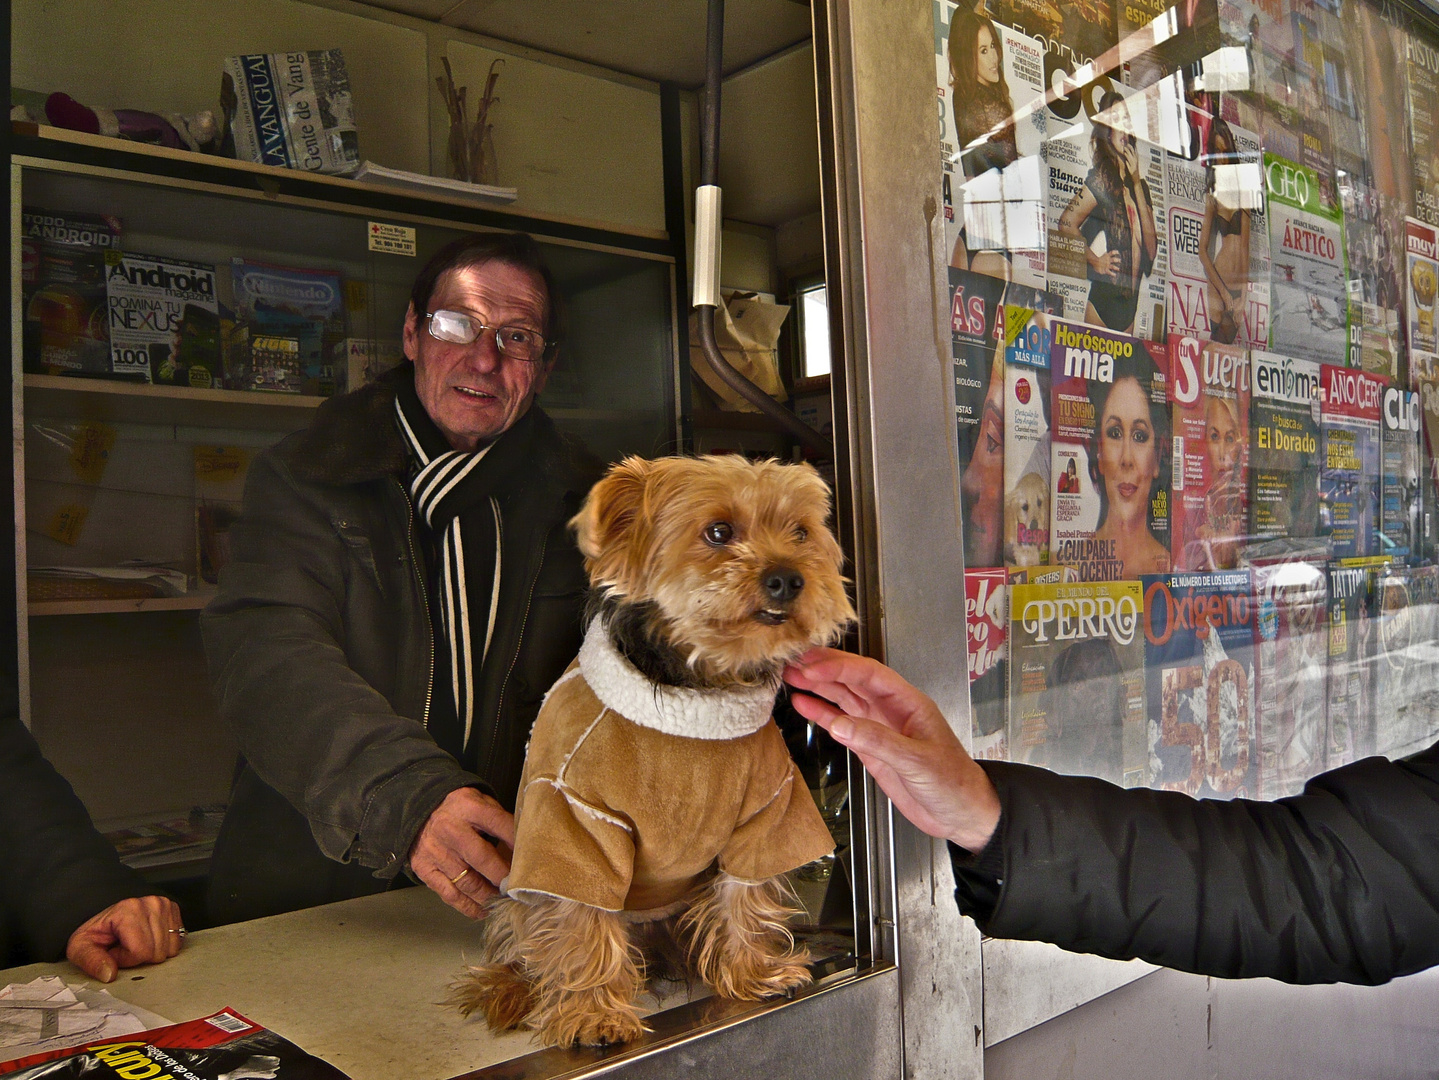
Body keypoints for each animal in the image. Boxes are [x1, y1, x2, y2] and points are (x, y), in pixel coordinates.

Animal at [454, 454, 846, 1046]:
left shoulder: (769, 805)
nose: (788, 578)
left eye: (801, 533)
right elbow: (580, 916)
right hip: (518, 885)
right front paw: (594, 1014)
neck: (699, 692)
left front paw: (756, 972)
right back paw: (511, 988)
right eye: (718, 532)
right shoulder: (575, 816)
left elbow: (743, 894)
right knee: (525, 934)